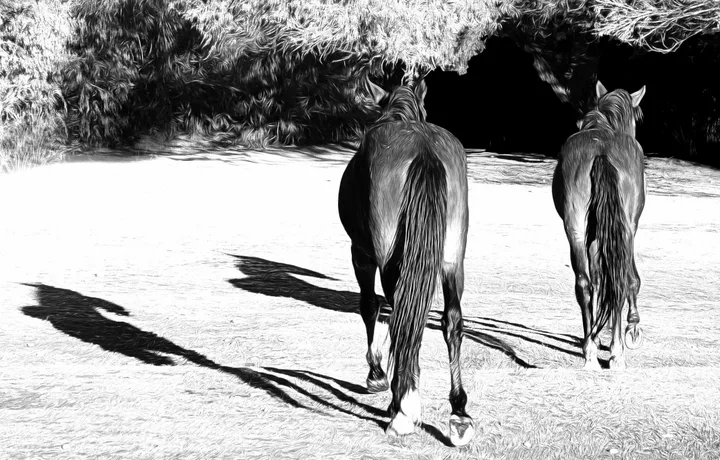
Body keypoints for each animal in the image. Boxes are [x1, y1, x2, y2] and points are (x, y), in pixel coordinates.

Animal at [338, 79, 474, 446]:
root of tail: (424, 148)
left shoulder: (361, 253)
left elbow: (369, 307)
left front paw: (376, 375)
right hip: (453, 259)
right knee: (451, 321)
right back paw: (459, 412)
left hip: (388, 259)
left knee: (401, 316)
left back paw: (401, 407)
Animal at [552, 80, 647, 370]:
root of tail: (601, 151)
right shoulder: (630, 227)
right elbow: (631, 280)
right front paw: (631, 329)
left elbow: (597, 279)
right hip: (623, 228)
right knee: (619, 279)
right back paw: (616, 352)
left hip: (576, 228)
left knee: (585, 283)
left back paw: (591, 352)